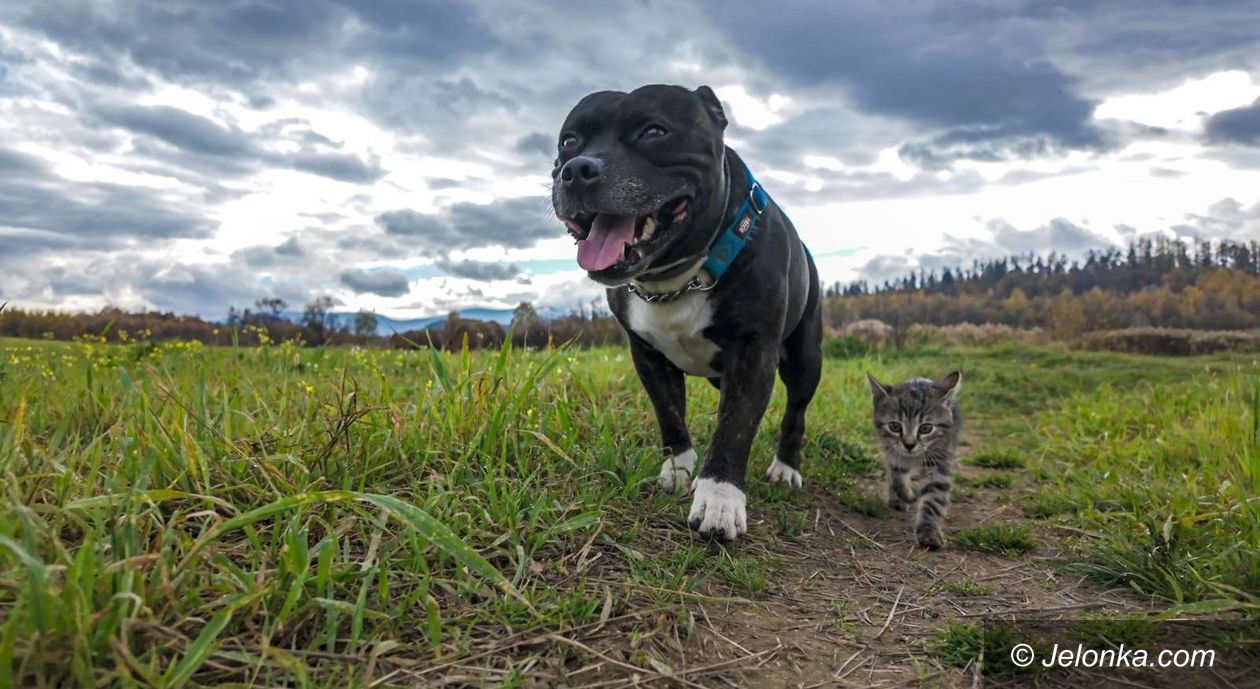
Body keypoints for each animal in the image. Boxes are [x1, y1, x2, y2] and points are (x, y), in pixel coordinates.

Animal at [549, 85, 821, 539]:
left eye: (654, 131)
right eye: (569, 141)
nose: (576, 170)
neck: (677, 277)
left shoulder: (753, 352)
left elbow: (735, 428)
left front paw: (719, 498)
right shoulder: (647, 356)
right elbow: (670, 413)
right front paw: (678, 469)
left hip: (805, 358)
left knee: (795, 411)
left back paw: (786, 467)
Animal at [871, 372, 957, 549]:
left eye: (926, 428)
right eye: (895, 426)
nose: (909, 445)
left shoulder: (939, 459)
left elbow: (933, 497)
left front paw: (929, 531)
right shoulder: (891, 451)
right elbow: (897, 477)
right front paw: (907, 494)